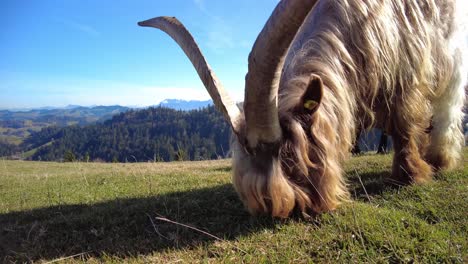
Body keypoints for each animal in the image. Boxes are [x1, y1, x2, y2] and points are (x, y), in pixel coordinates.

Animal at [140, 0, 468, 219]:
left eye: (290, 157)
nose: (285, 209)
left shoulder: (407, 68)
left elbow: (403, 124)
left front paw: (410, 174)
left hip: (451, 54)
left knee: (448, 106)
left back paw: (441, 158)